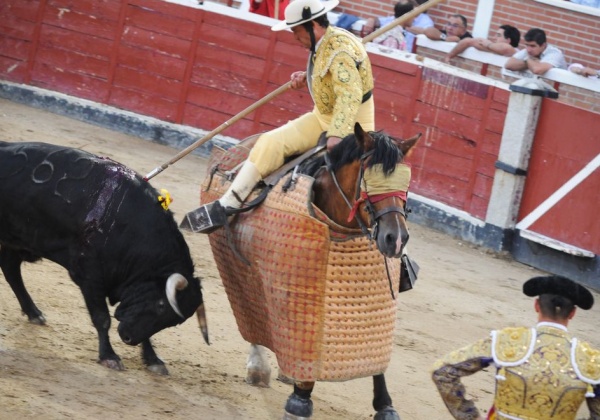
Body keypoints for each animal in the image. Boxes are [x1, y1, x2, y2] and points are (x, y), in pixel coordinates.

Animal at [0, 142, 207, 374]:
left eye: (173, 321)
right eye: (161, 304)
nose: (127, 338)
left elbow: (145, 331)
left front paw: (153, 359)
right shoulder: (90, 277)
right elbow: (102, 318)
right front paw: (109, 356)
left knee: (10, 268)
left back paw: (34, 312)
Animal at [199, 123, 420, 420]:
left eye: (405, 184)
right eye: (368, 180)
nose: (395, 239)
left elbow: (375, 357)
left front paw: (385, 405)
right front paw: (300, 400)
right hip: (238, 264)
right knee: (251, 309)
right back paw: (259, 367)